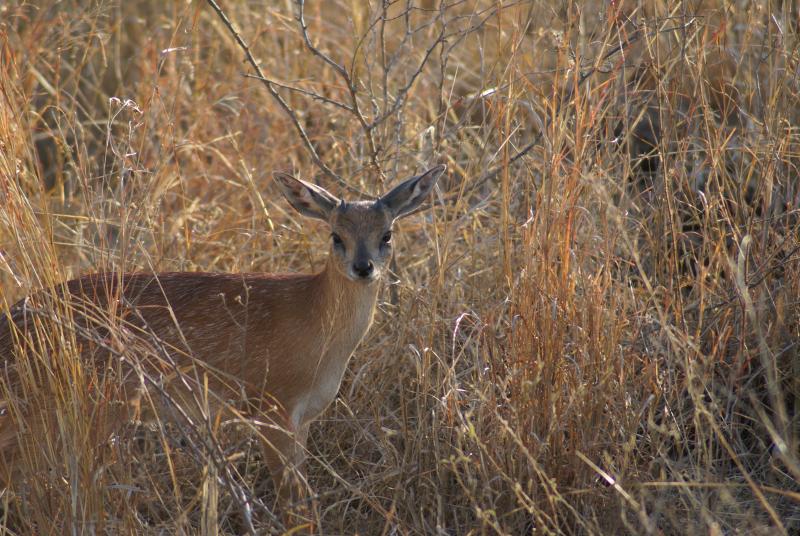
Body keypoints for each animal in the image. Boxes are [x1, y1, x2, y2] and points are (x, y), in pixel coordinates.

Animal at [0, 164, 446, 528]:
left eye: (386, 234)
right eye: (336, 235)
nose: (363, 267)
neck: (316, 321)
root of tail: (13, 316)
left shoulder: (302, 421)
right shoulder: (272, 412)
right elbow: (293, 507)